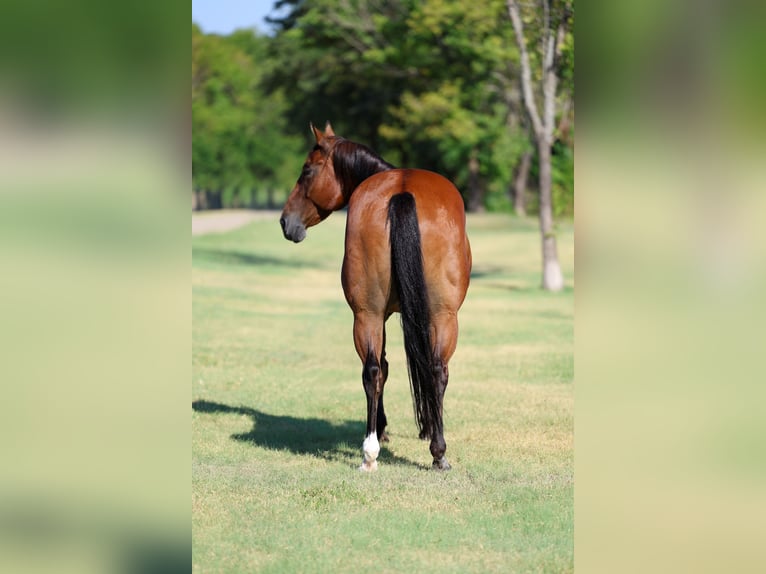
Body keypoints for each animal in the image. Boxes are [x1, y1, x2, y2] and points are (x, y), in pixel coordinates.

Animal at [279, 122, 471, 471]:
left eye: (306, 170)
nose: (286, 221)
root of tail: (401, 192)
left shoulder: (382, 314)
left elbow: (385, 365)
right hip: (441, 316)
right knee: (435, 369)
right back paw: (436, 452)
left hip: (368, 314)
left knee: (374, 370)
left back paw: (370, 452)